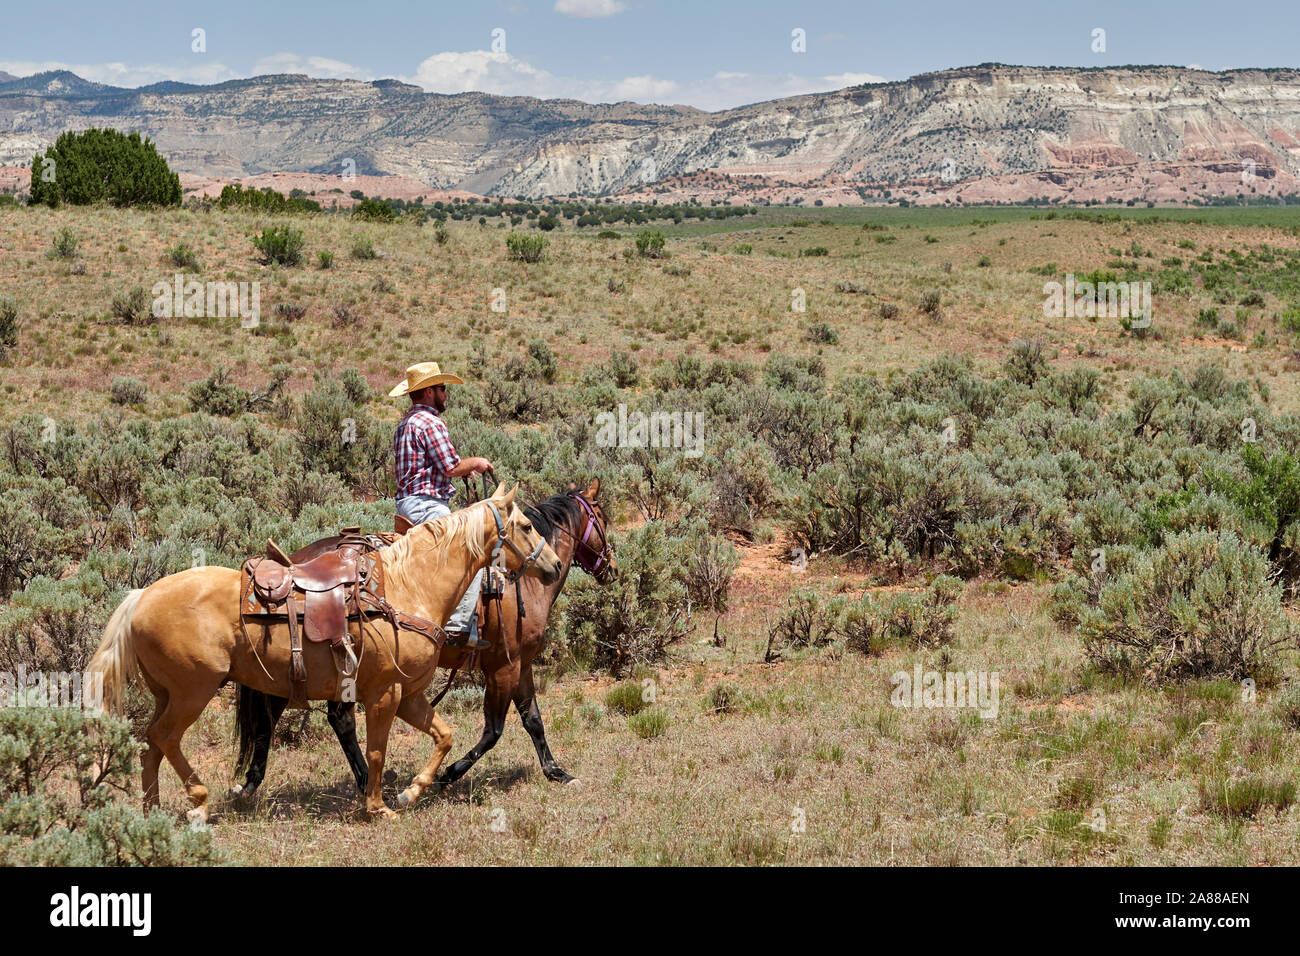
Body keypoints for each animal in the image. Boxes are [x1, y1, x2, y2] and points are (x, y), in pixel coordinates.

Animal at [87, 486, 559, 822]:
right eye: (526, 525)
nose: (554, 565)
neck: (410, 586)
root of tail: (141, 596)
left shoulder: (409, 694)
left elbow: (444, 735)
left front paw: (411, 791)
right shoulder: (385, 694)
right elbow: (377, 748)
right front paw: (378, 805)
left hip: (167, 694)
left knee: (150, 745)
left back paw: (151, 812)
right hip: (192, 692)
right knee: (166, 738)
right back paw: (199, 802)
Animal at [233, 478, 618, 801]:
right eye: (602, 517)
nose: (612, 569)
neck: (522, 584)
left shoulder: (521, 664)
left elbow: (533, 720)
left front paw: (557, 772)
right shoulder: (503, 667)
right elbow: (494, 730)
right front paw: (449, 774)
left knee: (301, 716)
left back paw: (259, 781)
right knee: (320, 717)